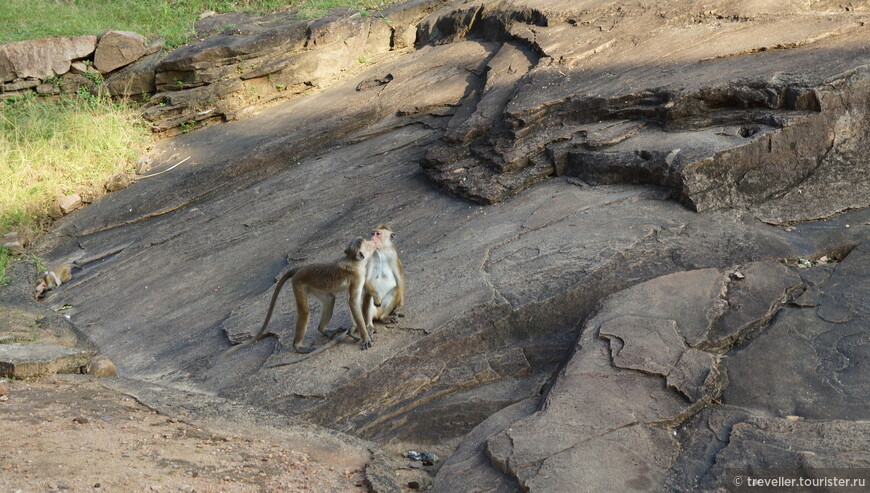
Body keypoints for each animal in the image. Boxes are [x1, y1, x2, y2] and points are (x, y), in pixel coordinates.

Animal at [221, 234, 382, 358]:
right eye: (365, 241)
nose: (371, 240)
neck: (353, 261)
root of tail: (301, 268)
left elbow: (355, 296)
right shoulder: (356, 276)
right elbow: (353, 301)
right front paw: (364, 336)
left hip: (315, 287)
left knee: (329, 300)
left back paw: (323, 330)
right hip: (298, 284)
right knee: (305, 312)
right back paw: (298, 346)